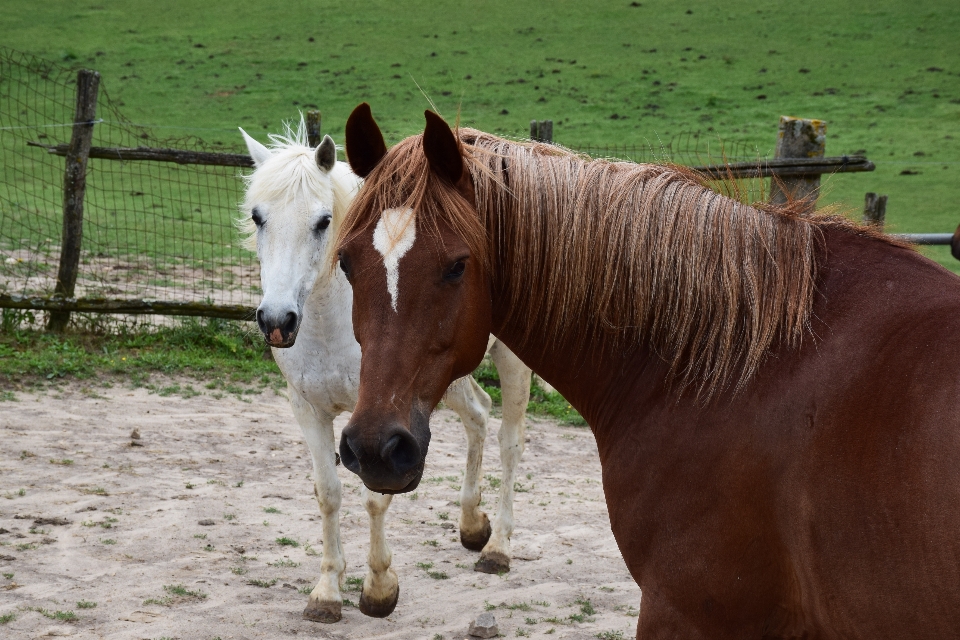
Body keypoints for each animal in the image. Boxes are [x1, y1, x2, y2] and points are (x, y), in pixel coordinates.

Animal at [233, 121, 532, 624]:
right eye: (258, 217)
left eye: (323, 221)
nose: (277, 320)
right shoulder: (308, 410)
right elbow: (328, 492)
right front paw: (327, 593)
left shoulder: (378, 421)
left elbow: (374, 496)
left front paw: (378, 588)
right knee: (478, 413)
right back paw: (472, 526)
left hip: (512, 364)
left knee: (509, 441)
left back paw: (499, 548)